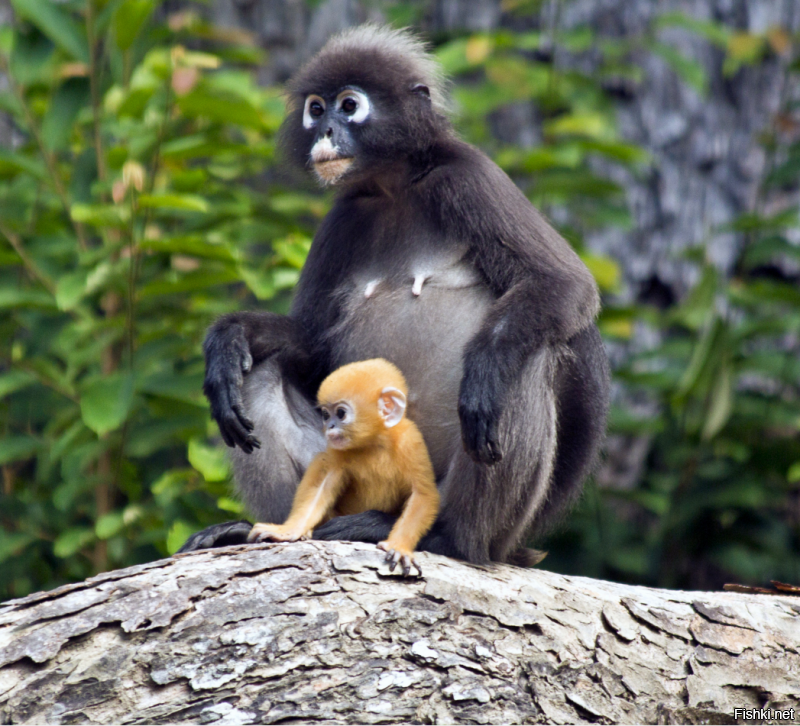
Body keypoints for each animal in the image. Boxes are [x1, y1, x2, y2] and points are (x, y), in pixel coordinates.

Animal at [246, 358, 439, 576]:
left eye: (340, 413)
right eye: (325, 415)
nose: (329, 426)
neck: (374, 443)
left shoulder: (411, 442)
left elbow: (422, 493)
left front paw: (399, 547)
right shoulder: (337, 452)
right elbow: (321, 488)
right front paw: (288, 531)